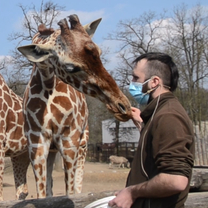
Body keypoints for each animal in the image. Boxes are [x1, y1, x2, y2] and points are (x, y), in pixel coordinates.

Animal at [17, 13, 132, 199]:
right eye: (71, 67)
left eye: (99, 52)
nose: (123, 106)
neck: (48, 84)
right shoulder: (36, 144)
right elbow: (43, 195)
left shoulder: (70, 142)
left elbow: (70, 193)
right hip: (53, 150)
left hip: (83, 144)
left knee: (78, 186)